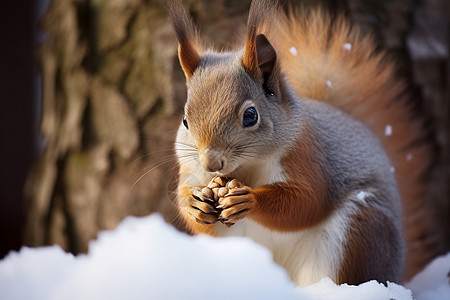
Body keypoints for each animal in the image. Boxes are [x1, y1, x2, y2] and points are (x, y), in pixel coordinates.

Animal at [167, 0, 434, 286]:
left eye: (250, 116)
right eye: (185, 120)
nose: (211, 163)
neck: (247, 166)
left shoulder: (306, 156)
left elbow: (306, 201)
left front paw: (249, 200)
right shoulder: (191, 170)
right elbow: (190, 209)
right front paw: (194, 203)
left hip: (360, 229)